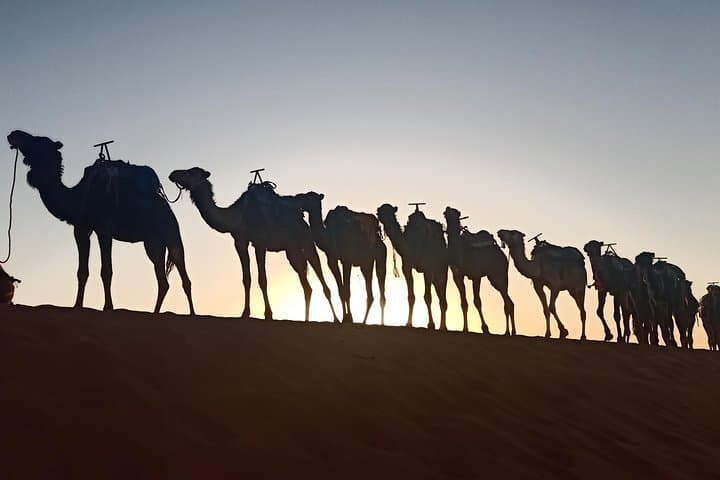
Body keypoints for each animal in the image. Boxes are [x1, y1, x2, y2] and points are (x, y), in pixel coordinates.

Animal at [7, 130, 194, 314]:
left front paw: (108, 307)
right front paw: (77, 306)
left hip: (172, 233)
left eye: (39, 140)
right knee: (163, 280)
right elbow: (82, 272)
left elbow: (106, 271)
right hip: (153, 243)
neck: (76, 197)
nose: (13, 134)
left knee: (183, 274)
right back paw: (154, 312)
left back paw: (192, 313)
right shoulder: (81, 230)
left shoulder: (104, 230)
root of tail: (166, 206)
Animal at [168, 167, 338, 322]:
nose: (173, 174)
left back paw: (335, 319)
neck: (238, 216)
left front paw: (268, 314)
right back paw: (306, 319)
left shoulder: (260, 242)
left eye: (191, 172)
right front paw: (245, 313)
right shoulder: (240, 242)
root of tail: (300, 216)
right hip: (292, 249)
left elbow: (262, 279)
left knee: (318, 270)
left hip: (306, 240)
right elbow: (246, 278)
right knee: (306, 284)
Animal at [292, 192, 386, 325]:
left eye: (308, 197)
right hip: (366, 263)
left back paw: (379, 322)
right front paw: (344, 317)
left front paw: (349, 318)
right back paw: (363, 321)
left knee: (381, 284)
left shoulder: (347, 260)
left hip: (380, 255)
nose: (297, 198)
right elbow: (341, 290)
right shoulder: (332, 260)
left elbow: (347, 290)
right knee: (370, 293)